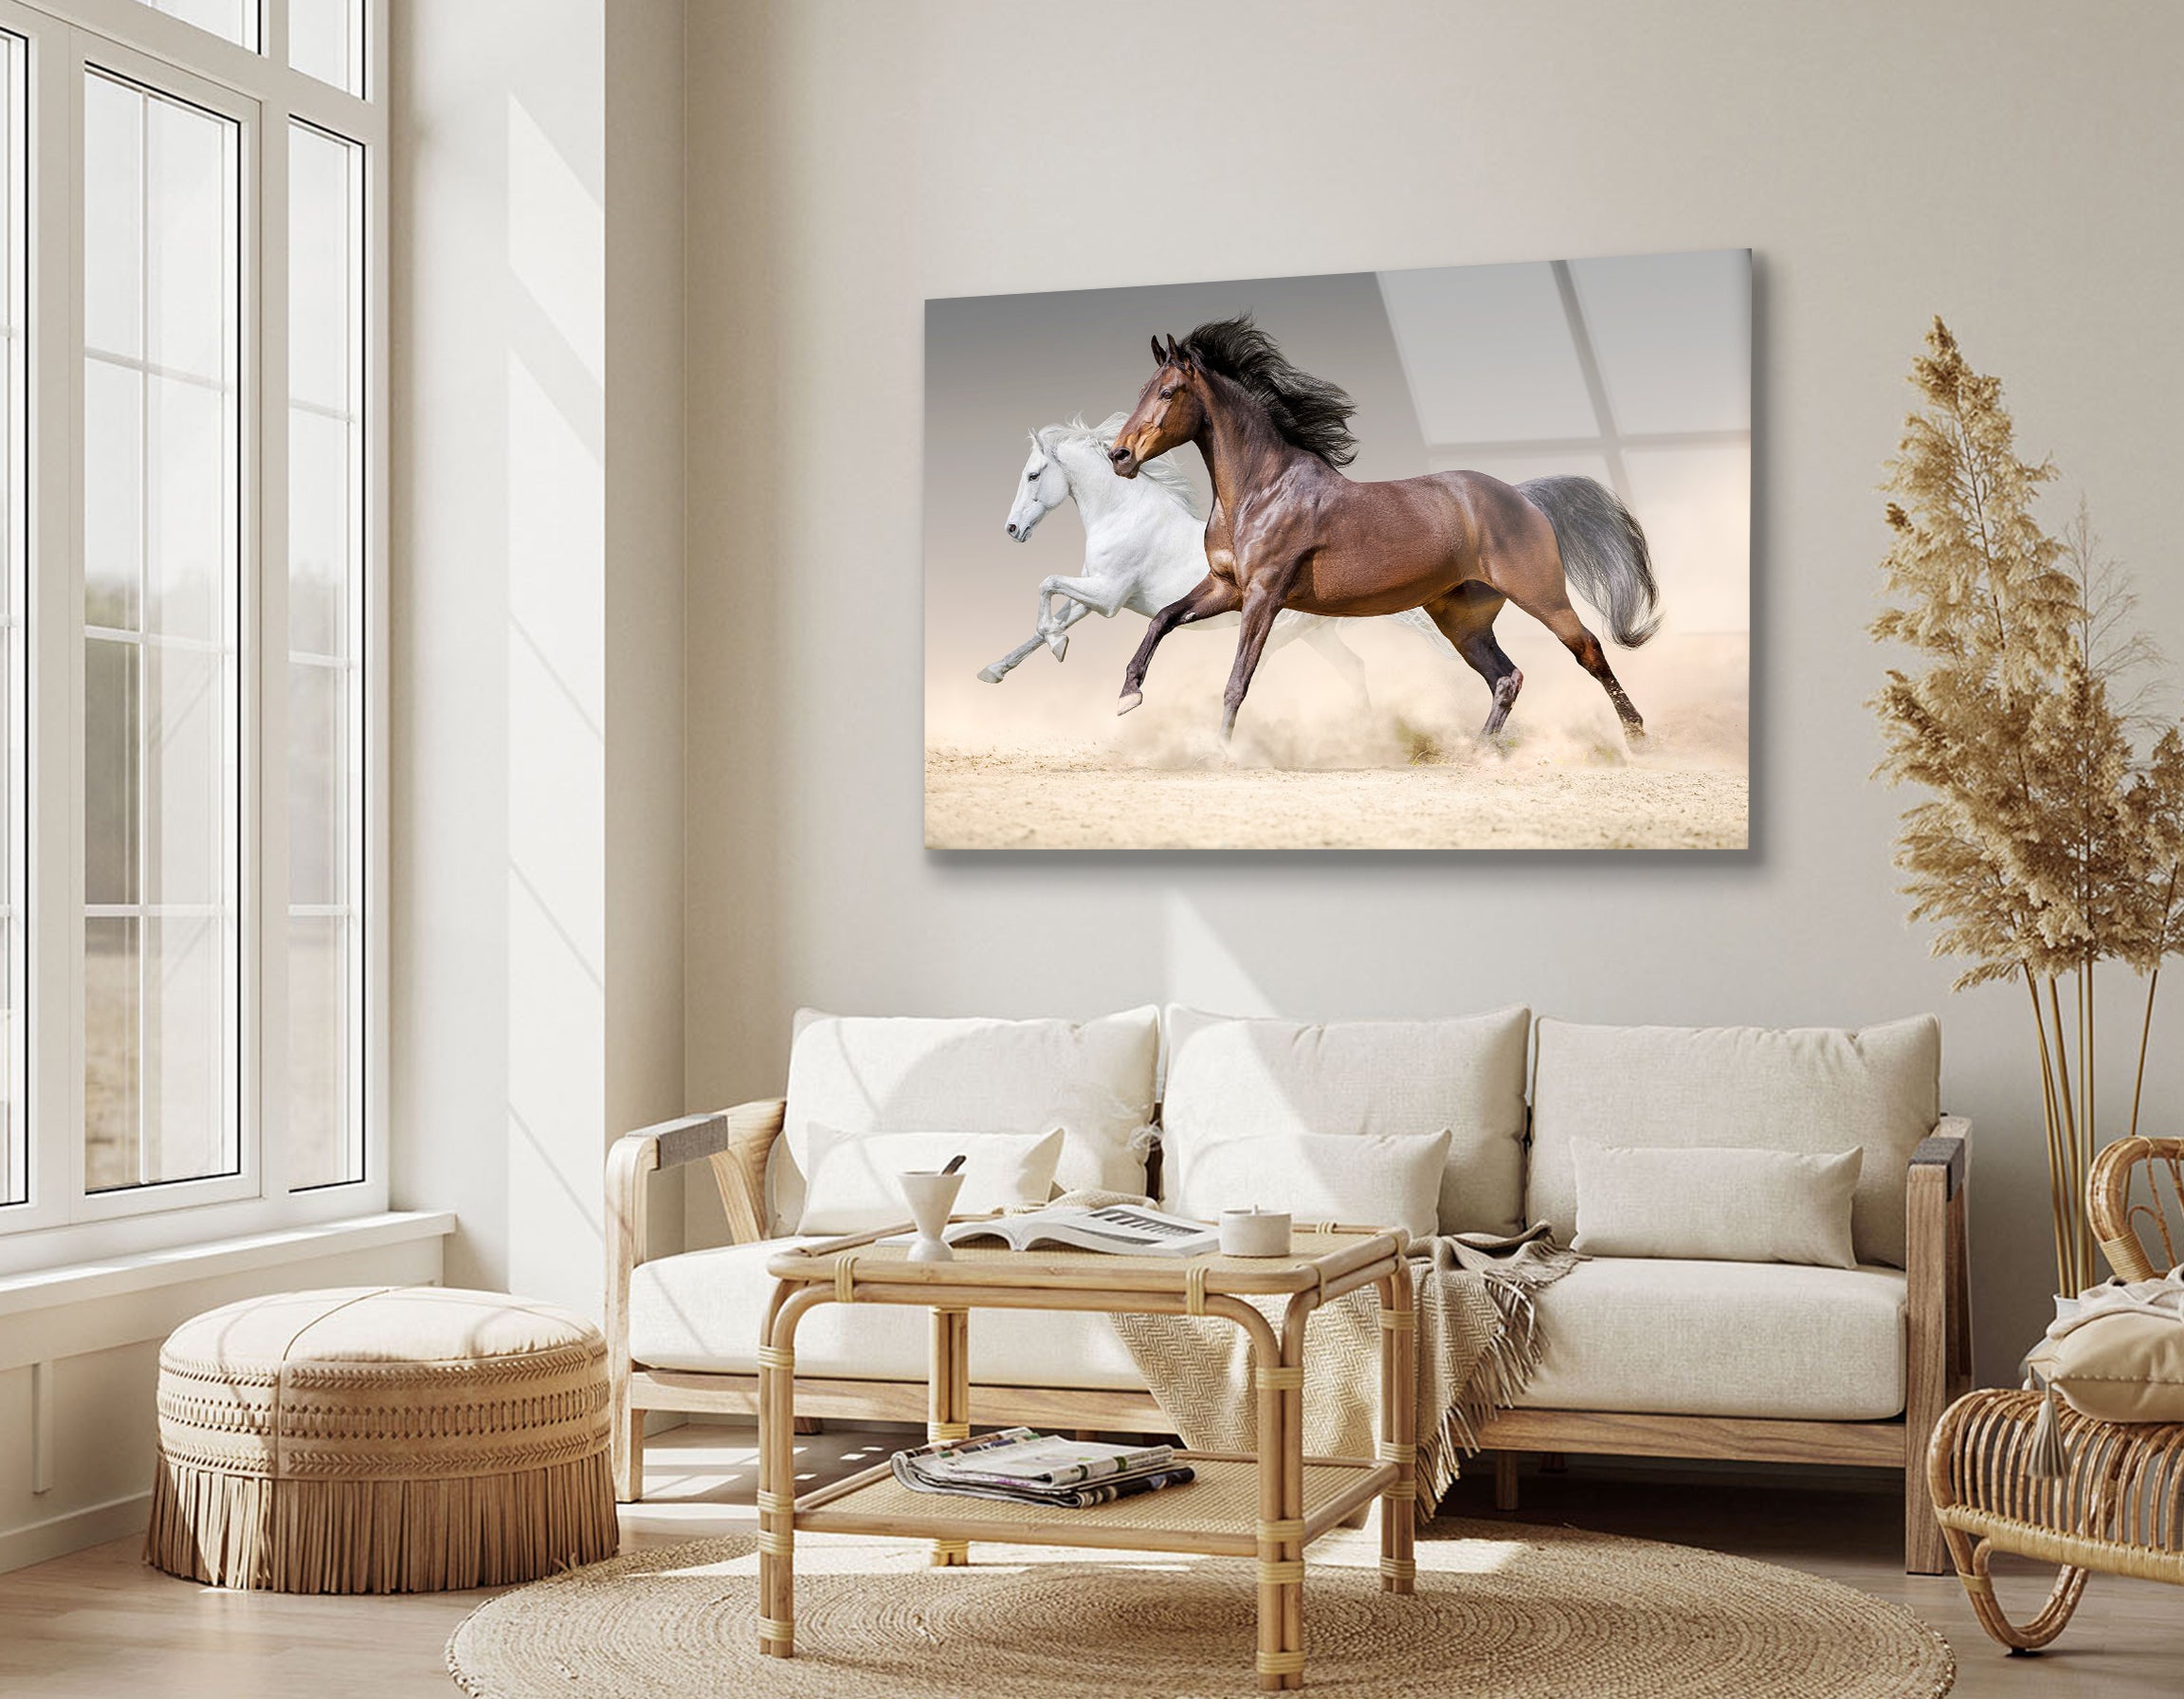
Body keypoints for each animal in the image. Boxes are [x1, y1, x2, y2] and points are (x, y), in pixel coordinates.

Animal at [978, 413, 1448, 697]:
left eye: (1032, 475)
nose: (1012, 530)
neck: (1124, 514)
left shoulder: (1108, 597)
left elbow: (1046, 585)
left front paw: (1059, 647)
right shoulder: (1091, 596)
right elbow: (1043, 624)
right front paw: (994, 670)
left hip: (1278, 628)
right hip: (1315, 633)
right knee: (1353, 667)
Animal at [1107, 315, 1663, 746]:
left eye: (1168, 392)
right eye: (1140, 391)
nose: (1120, 456)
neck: (1259, 490)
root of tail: (1524, 497)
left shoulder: (1263, 595)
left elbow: (1238, 678)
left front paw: (1221, 750)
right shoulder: (1228, 587)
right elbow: (1163, 618)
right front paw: (1129, 695)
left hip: (1541, 595)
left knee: (1588, 650)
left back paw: (1637, 737)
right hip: (1462, 619)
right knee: (1506, 677)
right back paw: (1478, 751)